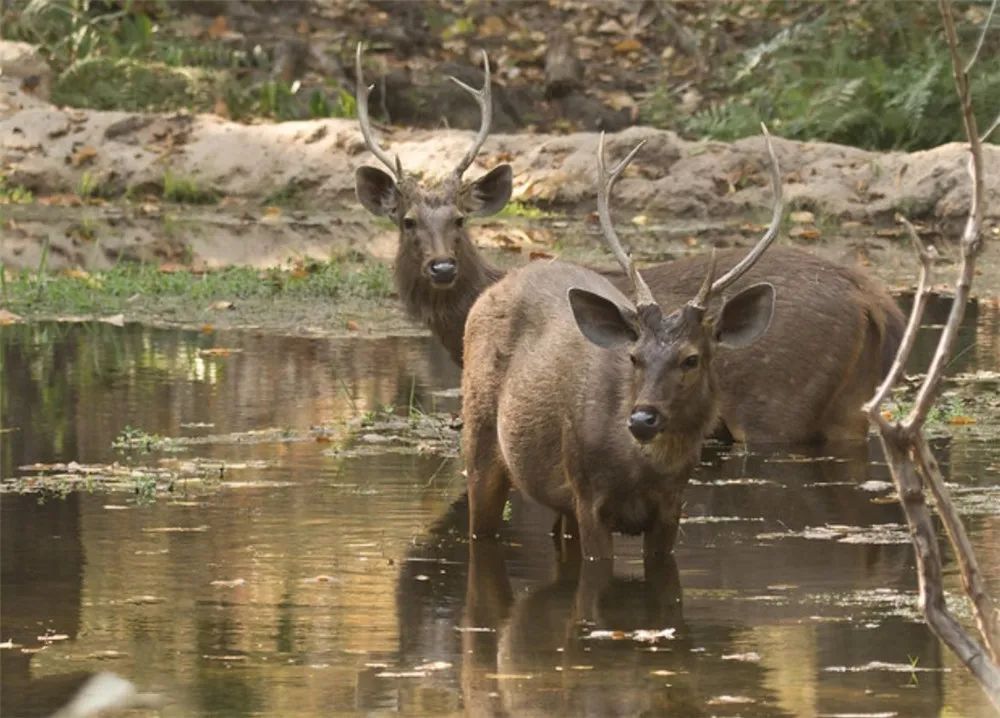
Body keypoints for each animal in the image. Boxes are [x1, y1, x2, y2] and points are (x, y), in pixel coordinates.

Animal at [354, 46, 908, 444]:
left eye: (461, 219)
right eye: (407, 222)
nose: (442, 267)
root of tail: (874, 298)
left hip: (777, 402)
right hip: (848, 404)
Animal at [458, 132, 780, 560]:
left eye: (691, 359)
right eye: (634, 357)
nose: (643, 419)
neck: (639, 470)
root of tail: (490, 291)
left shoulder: (670, 508)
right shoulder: (587, 495)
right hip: (479, 438)